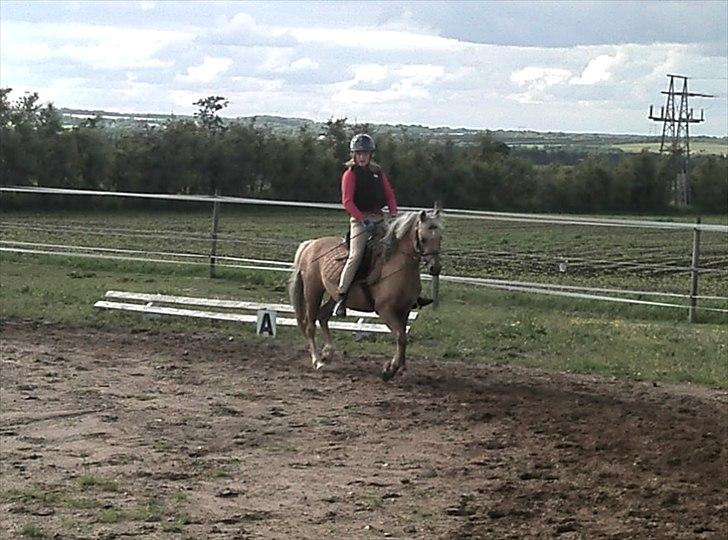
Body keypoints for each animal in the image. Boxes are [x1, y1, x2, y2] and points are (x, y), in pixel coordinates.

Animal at [288, 207, 440, 380]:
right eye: (423, 238)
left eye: (440, 237)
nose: (435, 268)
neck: (396, 264)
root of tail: (311, 244)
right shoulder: (385, 311)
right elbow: (400, 337)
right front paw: (390, 369)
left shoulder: (404, 310)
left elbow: (402, 337)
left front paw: (399, 367)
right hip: (313, 292)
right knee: (310, 325)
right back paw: (318, 361)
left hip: (334, 295)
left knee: (323, 316)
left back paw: (328, 353)